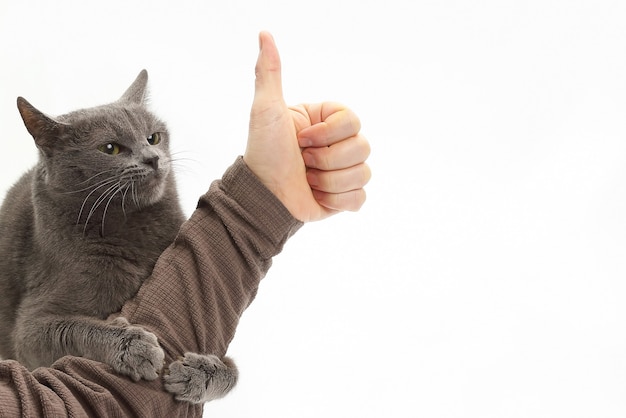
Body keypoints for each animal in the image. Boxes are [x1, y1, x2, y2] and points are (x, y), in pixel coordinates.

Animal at [0, 70, 236, 404]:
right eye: (110, 149)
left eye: (153, 137)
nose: (152, 158)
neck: (134, 231)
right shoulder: (29, 327)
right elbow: (72, 328)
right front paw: (133, 345)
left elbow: (234, 372)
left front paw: (200, 373)